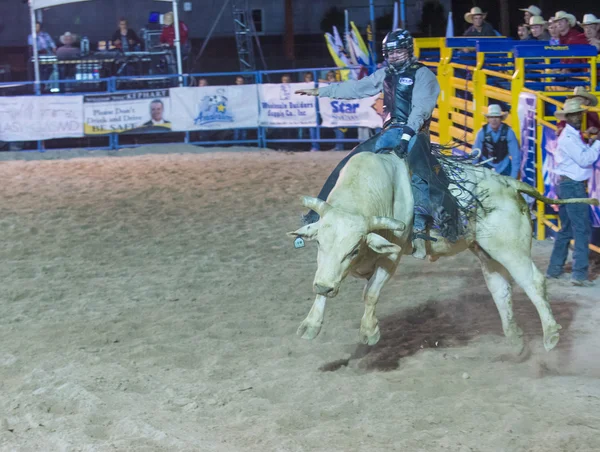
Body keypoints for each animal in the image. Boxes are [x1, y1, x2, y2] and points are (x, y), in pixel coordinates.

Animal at [288, 152, 596, 354]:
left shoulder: (391, 256)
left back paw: (551, 334)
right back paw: (515, 339)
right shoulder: (327, 268)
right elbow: (326, 280)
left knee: (533, 281)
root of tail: (509, 183)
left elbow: (371, 292)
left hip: (510, 247)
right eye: (319, 243)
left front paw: (369, 331)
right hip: (487, 250)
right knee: (501, 288)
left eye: (353, 250)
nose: (324, 286)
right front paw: (311, 324)